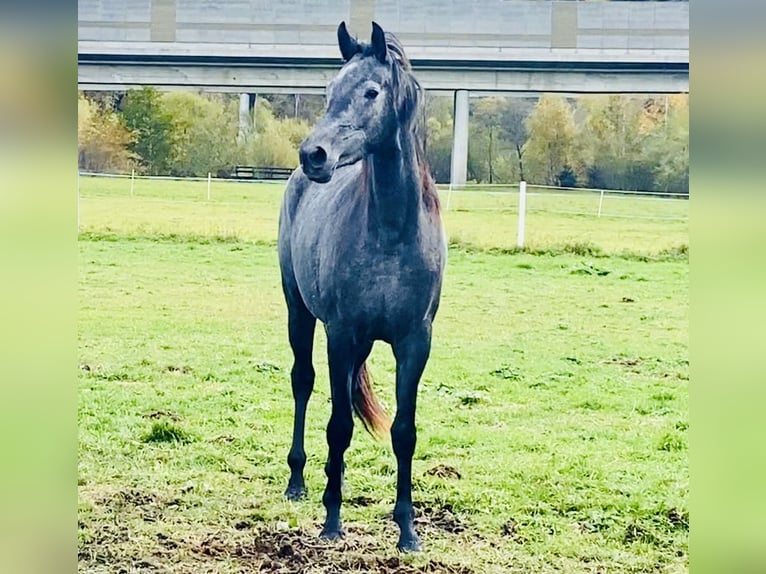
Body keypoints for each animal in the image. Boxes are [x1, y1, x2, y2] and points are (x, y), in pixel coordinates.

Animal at [278, 21, 448, 552]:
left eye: (372, 91)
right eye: (330, 89)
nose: (313, 155)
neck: (391, 231)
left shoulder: (416, 342)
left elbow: (404, 431)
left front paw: (408, 529)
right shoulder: (342, 335)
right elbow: (338, 426)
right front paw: (332, 521)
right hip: (298, 311)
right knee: (303, 382)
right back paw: (298, 481)